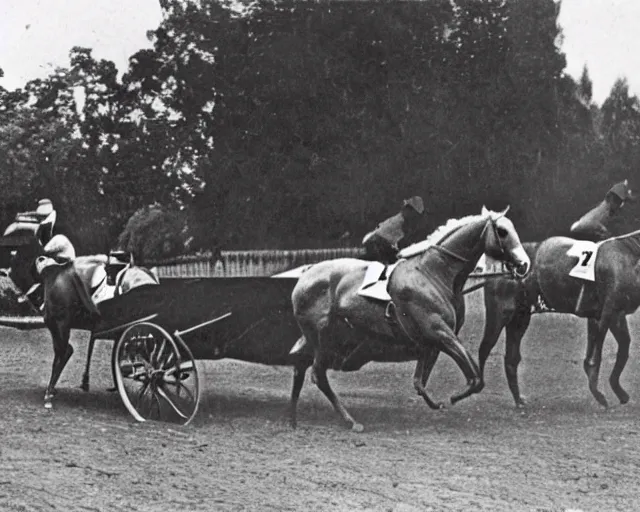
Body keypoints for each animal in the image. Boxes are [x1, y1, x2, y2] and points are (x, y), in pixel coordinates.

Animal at [3, 233, 159, 408]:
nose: (18, 295)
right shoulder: (59, 326)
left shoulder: (59, 324)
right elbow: (66, 352)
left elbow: (62, 354)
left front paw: (49, 393)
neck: (54, 273)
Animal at [290, 206, 528, 430]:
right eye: (502, 231)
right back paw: (350, 421)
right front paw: (453, 398)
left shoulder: (430, 340)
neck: (433, 273)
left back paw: (294, 418)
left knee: (300, 366)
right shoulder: (439, 332)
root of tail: (305, 277)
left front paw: (437, 403)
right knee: (318, 374)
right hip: (325, 340)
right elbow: (476, 379)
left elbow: (420, 382)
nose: (524, 265)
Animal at [478, 180, 636, 408]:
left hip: (519, 317)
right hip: (499, 314)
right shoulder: (610, 313)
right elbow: (598, 356)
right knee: (485, 349)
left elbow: (620, 348)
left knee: (511, 359)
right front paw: (601, 391)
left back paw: (518, 399)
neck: (629, 252)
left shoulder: (612, 315)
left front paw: (616, 391)